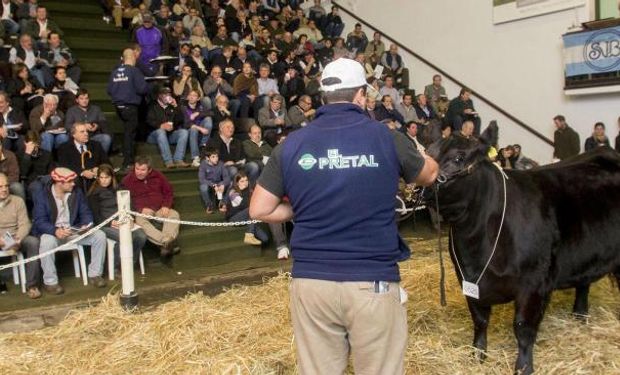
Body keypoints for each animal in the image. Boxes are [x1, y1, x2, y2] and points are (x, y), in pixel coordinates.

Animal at [428, 125, 620, 375]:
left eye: (458, 158)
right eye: (428, 151)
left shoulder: (534, 283)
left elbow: (523, 327)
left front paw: (523, 366)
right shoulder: (468, 280)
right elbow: (480, 320)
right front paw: (477, 355)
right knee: (583, 284)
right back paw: (579, 315)